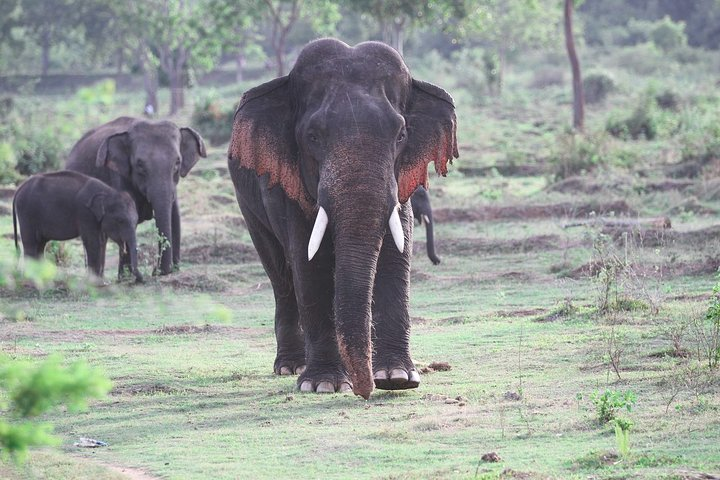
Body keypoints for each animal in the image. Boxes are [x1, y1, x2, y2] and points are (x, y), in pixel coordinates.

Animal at [12, 171, 143, 282]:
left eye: (137, 221)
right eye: (120, 220)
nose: (140, 280)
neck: (108, 193)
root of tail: (19, 189)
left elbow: (101, 242)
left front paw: (101, 281)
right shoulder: (85, 213)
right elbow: (93, 242)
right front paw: (95, 283)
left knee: (40, 244)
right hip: (27, 213)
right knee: (31, 243)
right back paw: (31, 280)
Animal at [65, 114, 205, 276]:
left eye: (177, 162)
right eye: (140, 164)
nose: (155, 270)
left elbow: (174, 217)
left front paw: (174, 270)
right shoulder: (119, 176)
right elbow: (127, 219)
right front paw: (126, 277)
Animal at [228, 37, 458, 400]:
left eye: (400, 135)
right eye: (313, 136)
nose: (365, 392)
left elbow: (397, 252)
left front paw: (398, 378)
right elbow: (309, 261)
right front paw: (323, 384)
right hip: (247, 203)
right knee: (280, 272)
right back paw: (291, 367)